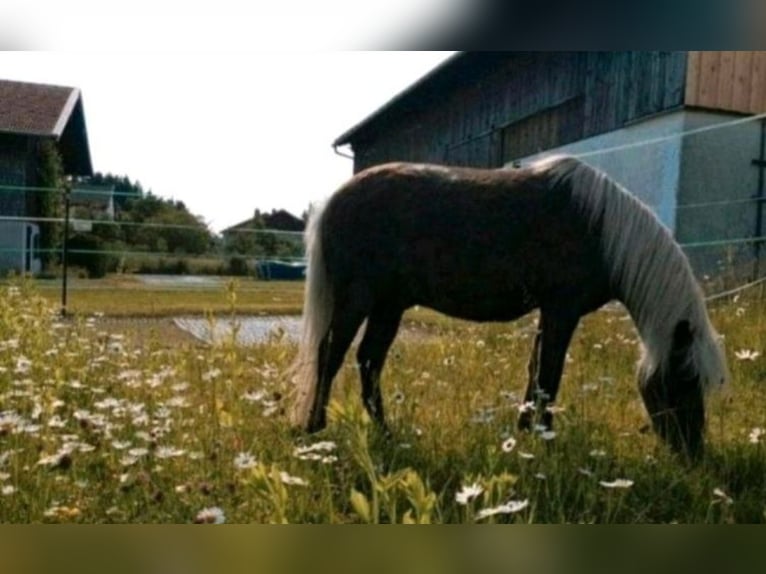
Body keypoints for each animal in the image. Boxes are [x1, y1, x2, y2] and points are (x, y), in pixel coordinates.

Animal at [289, 155, 728, 458]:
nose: (693, 455)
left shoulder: (549, 314)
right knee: (330, 355)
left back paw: (385, 433)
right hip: (357, 299)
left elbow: (535, 373)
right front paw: (544, 439)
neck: (601, 229)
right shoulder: (562, 311)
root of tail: (333, 202)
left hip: (389, 305)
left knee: (368, 360)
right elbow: (549, 377)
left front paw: (524, 432)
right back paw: (314, 428)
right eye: (685, 379)